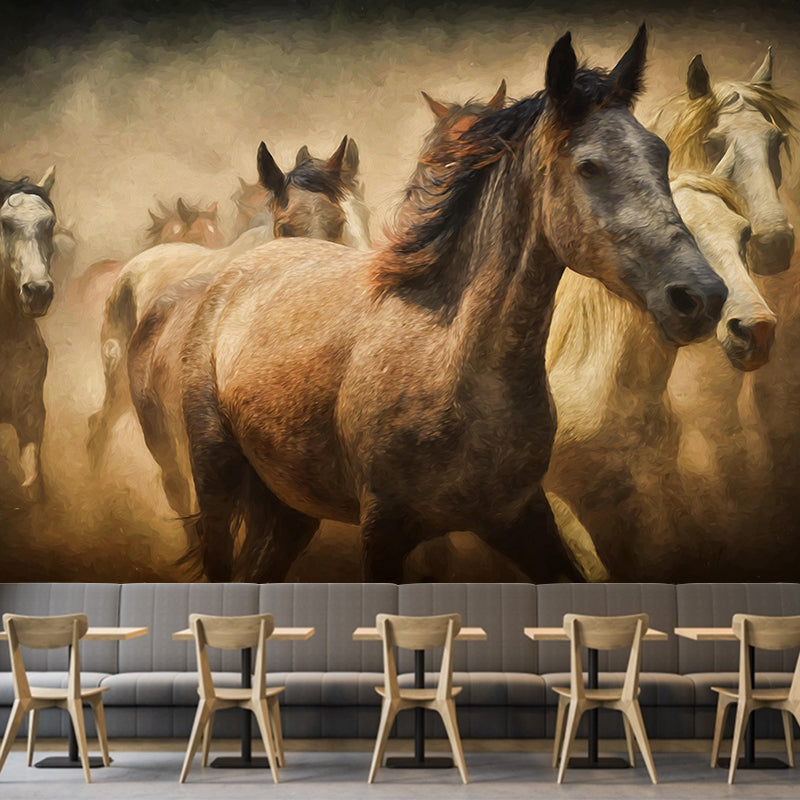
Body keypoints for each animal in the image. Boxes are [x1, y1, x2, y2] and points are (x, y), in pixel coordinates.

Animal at [178, 25, 728, 585]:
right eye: (589, 166)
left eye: (660, 154)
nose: (701, 296)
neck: (454, 362)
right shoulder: (384, 532)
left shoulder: (519, 517)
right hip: (216, 473)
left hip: (292, 505)